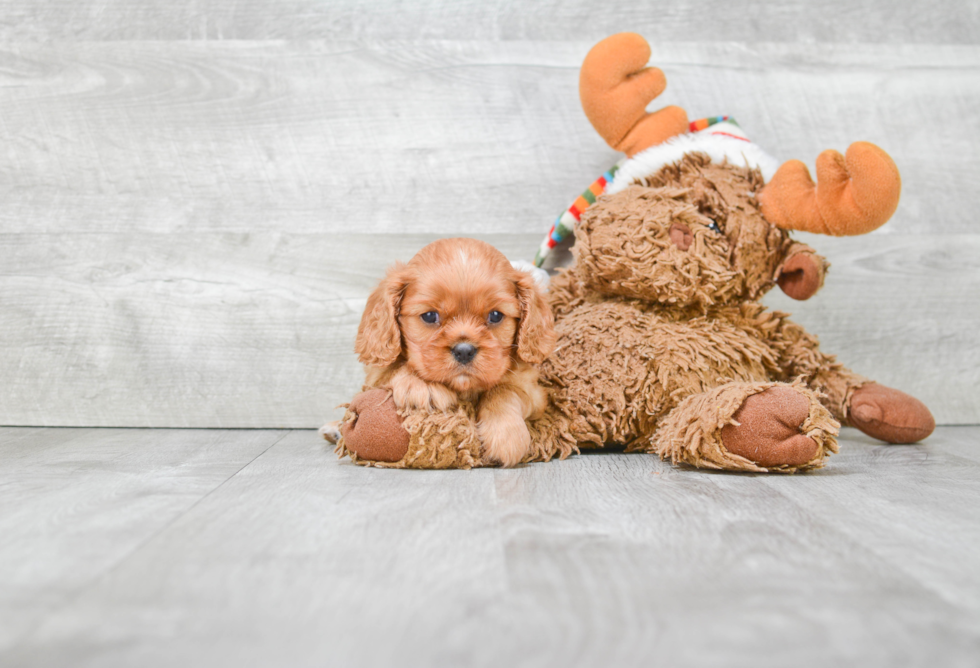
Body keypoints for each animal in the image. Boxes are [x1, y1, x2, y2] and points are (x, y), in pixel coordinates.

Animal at [348, 237, 556, 468]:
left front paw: (506, 436)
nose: (464, 351)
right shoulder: (374, 377)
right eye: (430, 316)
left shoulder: (534, 393)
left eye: (495, 315)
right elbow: (394, 367)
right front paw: (423, 384)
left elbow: (504, 390)